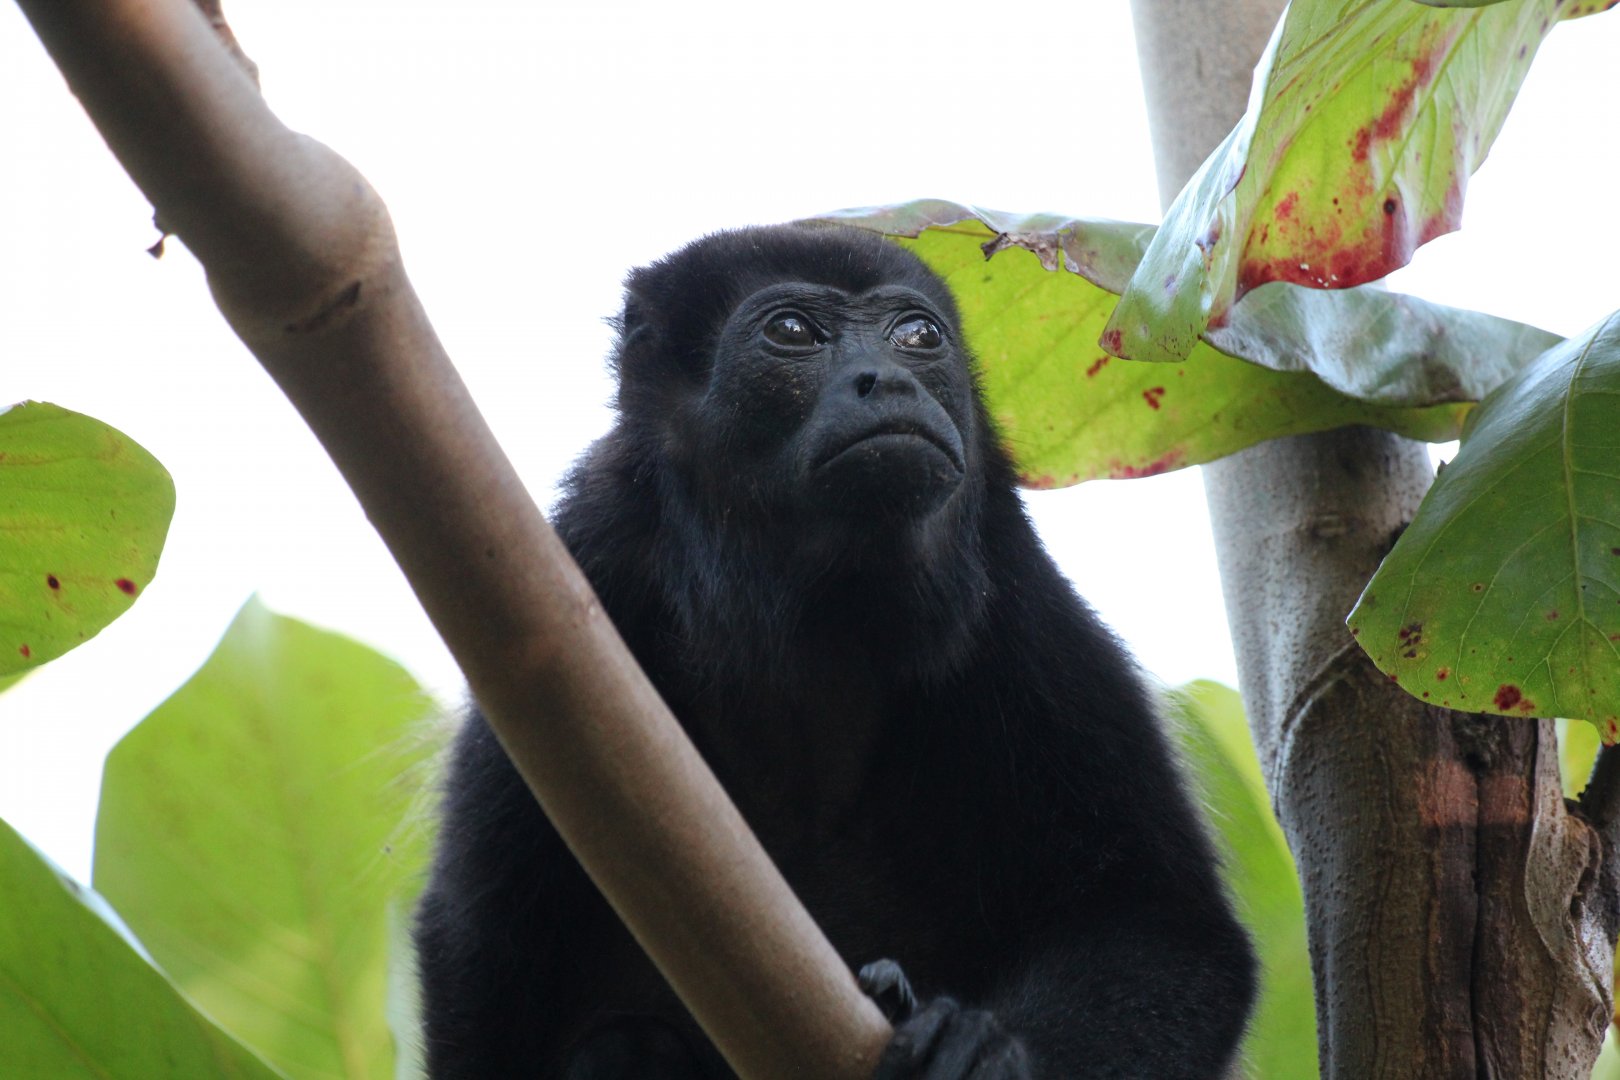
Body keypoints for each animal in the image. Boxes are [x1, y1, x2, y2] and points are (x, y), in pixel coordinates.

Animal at [414, 224, 1257, 1078]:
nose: (887, 379)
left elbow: (1164, 927)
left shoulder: (1022, 610)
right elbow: (485, 946)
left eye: (917, 336)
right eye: (792, 331)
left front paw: (988, 1049)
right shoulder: (571, 584)